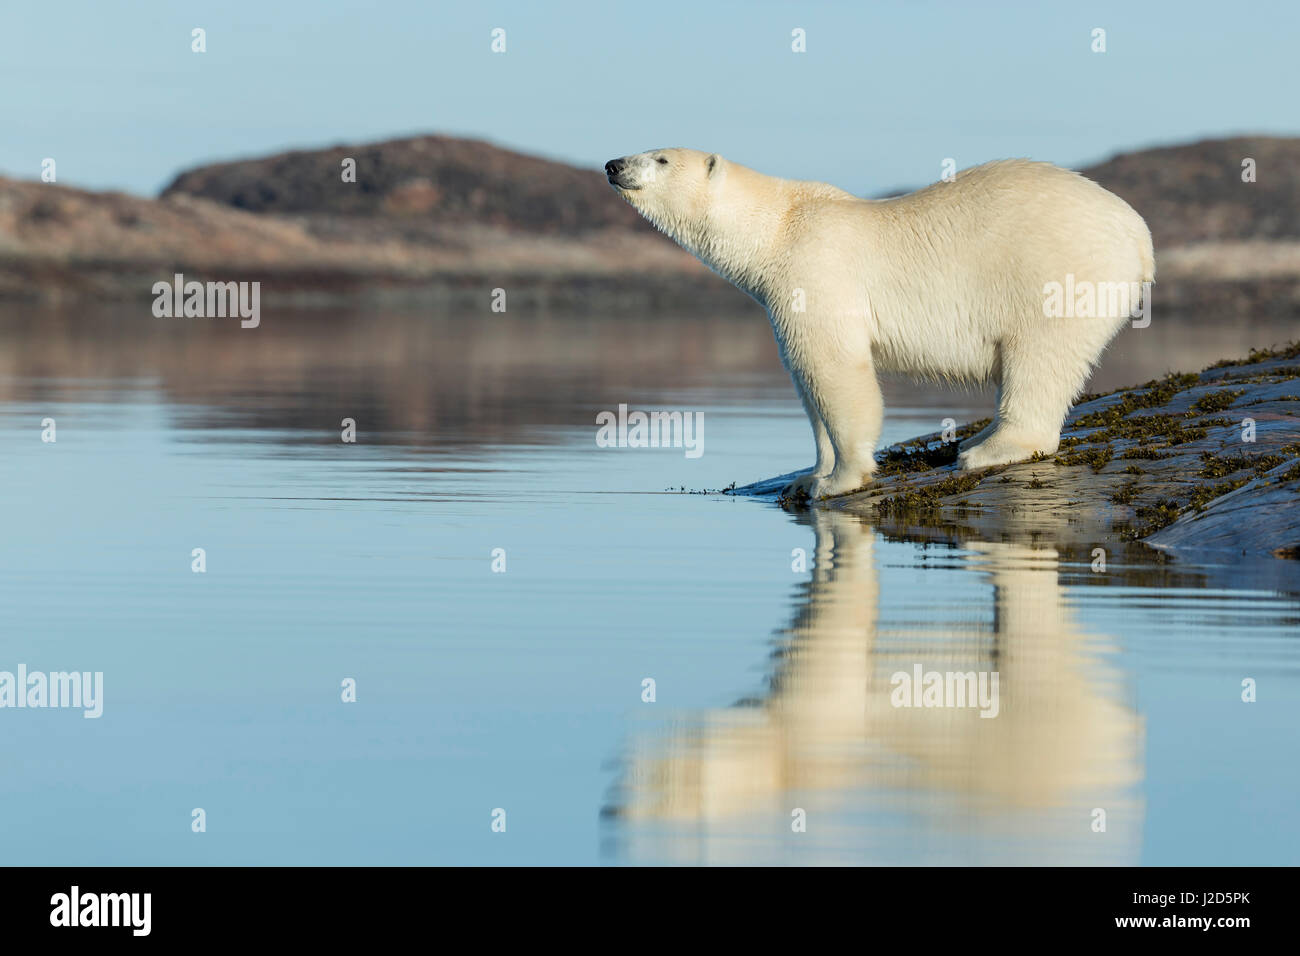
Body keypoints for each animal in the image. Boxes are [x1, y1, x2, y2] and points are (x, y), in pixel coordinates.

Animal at [603, 149, 1154, 502]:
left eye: (660, 158)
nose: (613, 165)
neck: (776, 228)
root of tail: (1139, 235)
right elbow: (807, 384)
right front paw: (808, 477)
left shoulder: (815, 270)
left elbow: (836, 371)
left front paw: (841, 480)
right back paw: (976, 438)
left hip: (1057, 274)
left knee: (1040, 356)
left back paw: (988, 450)